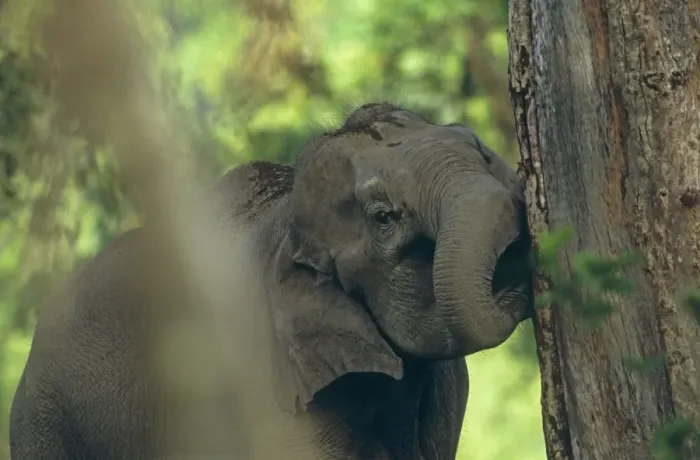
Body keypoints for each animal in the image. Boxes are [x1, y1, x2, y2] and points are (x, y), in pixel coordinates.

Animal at [9, 102, 532, 460]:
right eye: (383, 217)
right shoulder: (263, 381)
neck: (285, 218)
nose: (516, 282)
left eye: (482, 153)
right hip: (44, 421)